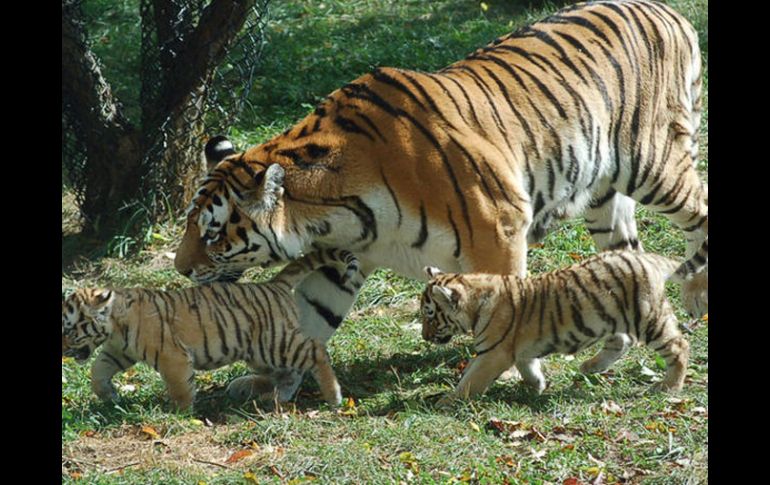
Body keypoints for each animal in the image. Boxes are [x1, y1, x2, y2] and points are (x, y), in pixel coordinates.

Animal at [61, 249, 359, 409]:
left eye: (69, 331)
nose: (63, 350)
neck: (115, 324)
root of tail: (273, 283)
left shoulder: (172, 356)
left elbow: (179, 386)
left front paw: (180, 413)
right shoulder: (117, 351)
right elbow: (97, 371)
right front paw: (109, 395)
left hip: (275, 344)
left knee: (317, 352)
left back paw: (334, 397)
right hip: (261, 354)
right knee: (290, 373)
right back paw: (275, 398)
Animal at [419, 249, 706, 403]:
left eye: (430, 315)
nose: (423, 336)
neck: (475, 302)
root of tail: (646, 257)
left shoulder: (493, 354)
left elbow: (470, 380)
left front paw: (446, 401)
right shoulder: (519, 351)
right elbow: (528, 367)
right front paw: (537, 386)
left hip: (648, 317)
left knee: (679, 345)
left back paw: (669, 387)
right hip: (613, 317)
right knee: (622, 341)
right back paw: (591, 366)